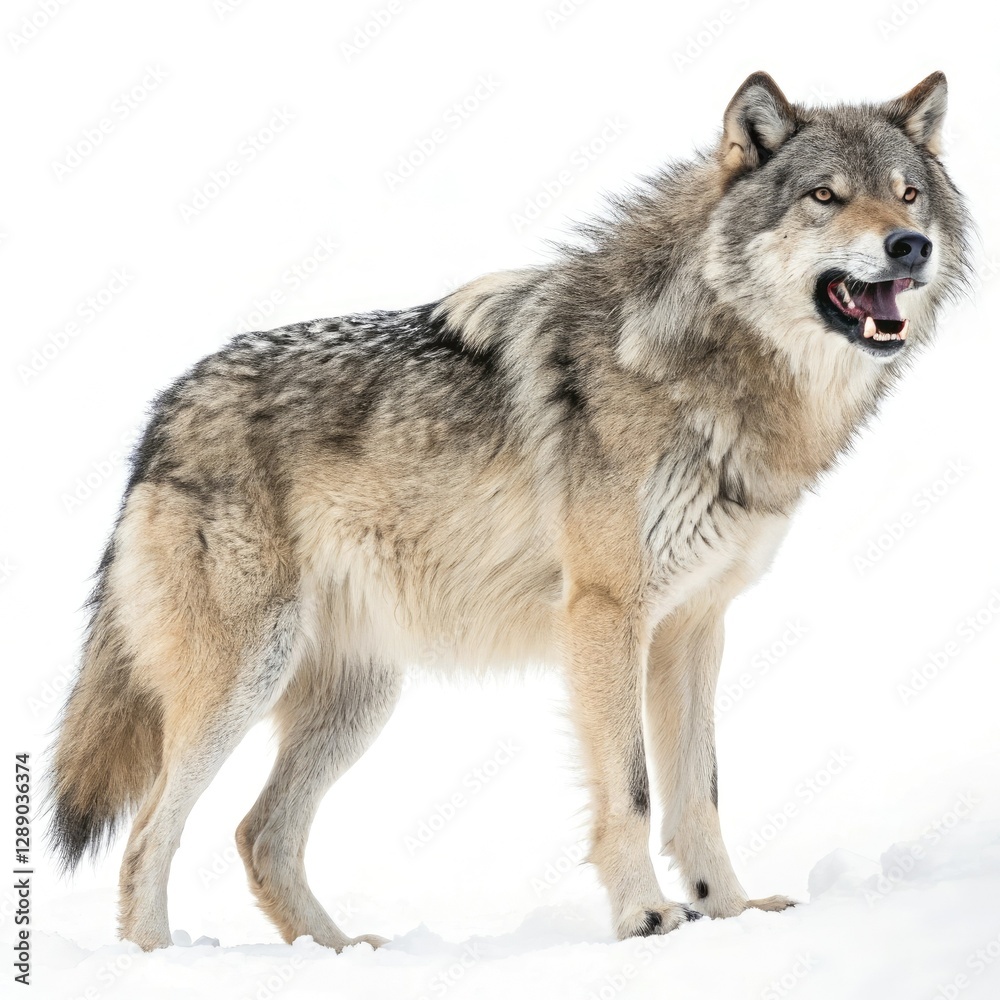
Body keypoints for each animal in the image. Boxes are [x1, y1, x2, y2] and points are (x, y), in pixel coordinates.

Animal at [49, 71, 969, 951]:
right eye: (825, 196)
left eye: (907, 194)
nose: (909, 245)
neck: (702, 363)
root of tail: (163, 414)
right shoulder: (607, 613)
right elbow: (633, 790)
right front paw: (646, 919)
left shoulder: (694, 624)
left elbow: (699, 792)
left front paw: (731, 913)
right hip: (244, 676)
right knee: (150, 833)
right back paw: (162, 958)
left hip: (359, 698)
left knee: (259, 833)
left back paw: (341, 953)